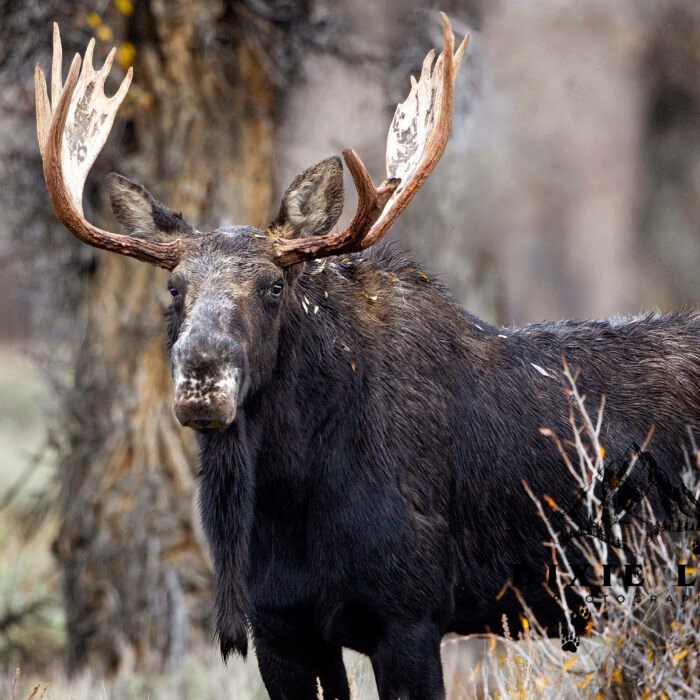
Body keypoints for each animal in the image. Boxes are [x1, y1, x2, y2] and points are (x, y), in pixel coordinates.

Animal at [35, 14, 700, 700]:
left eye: (275, 286)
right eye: (174, 288)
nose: (203, 375)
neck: (283, 502)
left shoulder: (410, 616)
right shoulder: (282, 631)